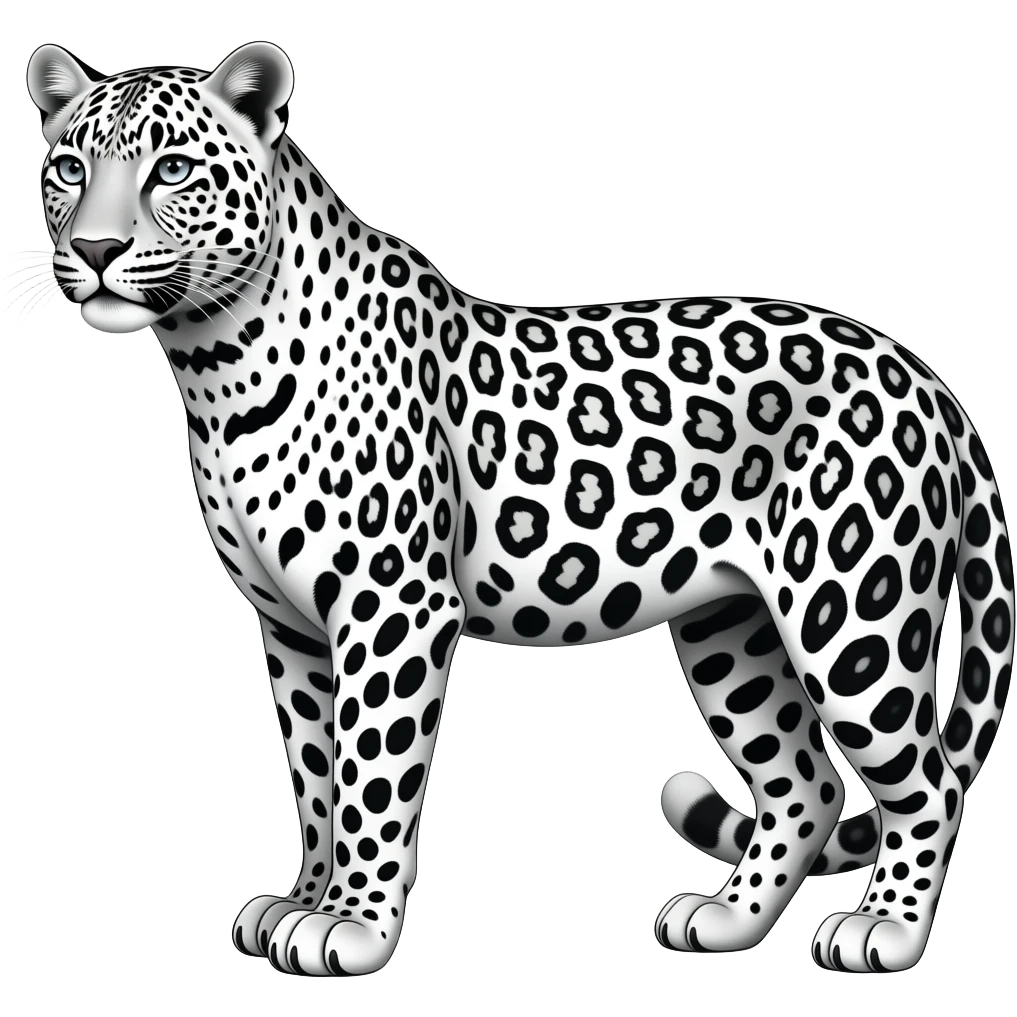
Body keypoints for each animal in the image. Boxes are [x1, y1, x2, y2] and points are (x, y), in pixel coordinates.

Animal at [16, 40, 1014, 977]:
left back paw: (882, 928)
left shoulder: (393, 606)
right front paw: (298, 900)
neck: (214, 361)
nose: (95, 252)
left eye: (173, 169)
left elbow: (370, 774)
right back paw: (724, 919)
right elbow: (315, 775)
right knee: (805, 783)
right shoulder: (291, 626)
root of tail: (923, 372)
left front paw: (350, 925)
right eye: (68, 167)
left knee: (925, 784)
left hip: (849, 618)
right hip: (729, 627)